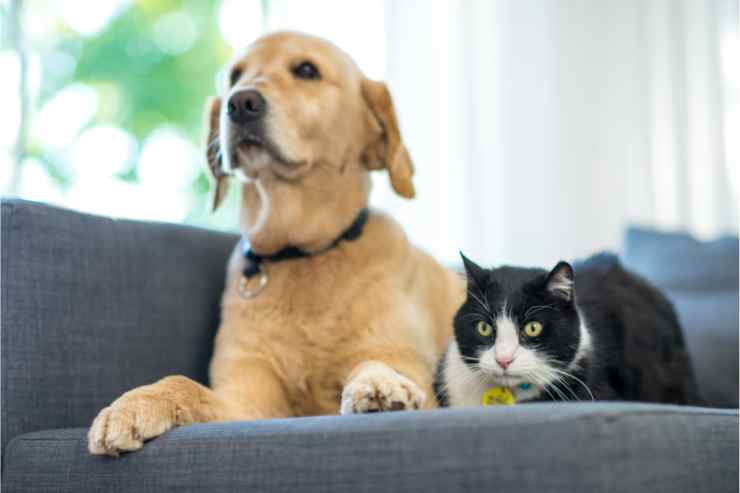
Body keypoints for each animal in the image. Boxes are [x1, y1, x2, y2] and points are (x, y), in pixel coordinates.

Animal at [88, 29, 462, 454]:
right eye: (235, 75)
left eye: (306, 70)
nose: (240, 103)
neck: (301, 254)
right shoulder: (245, 399)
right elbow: (182, 383)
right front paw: (133, 404)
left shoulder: (404, 363)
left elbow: (374, 364)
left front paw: (379, 383)